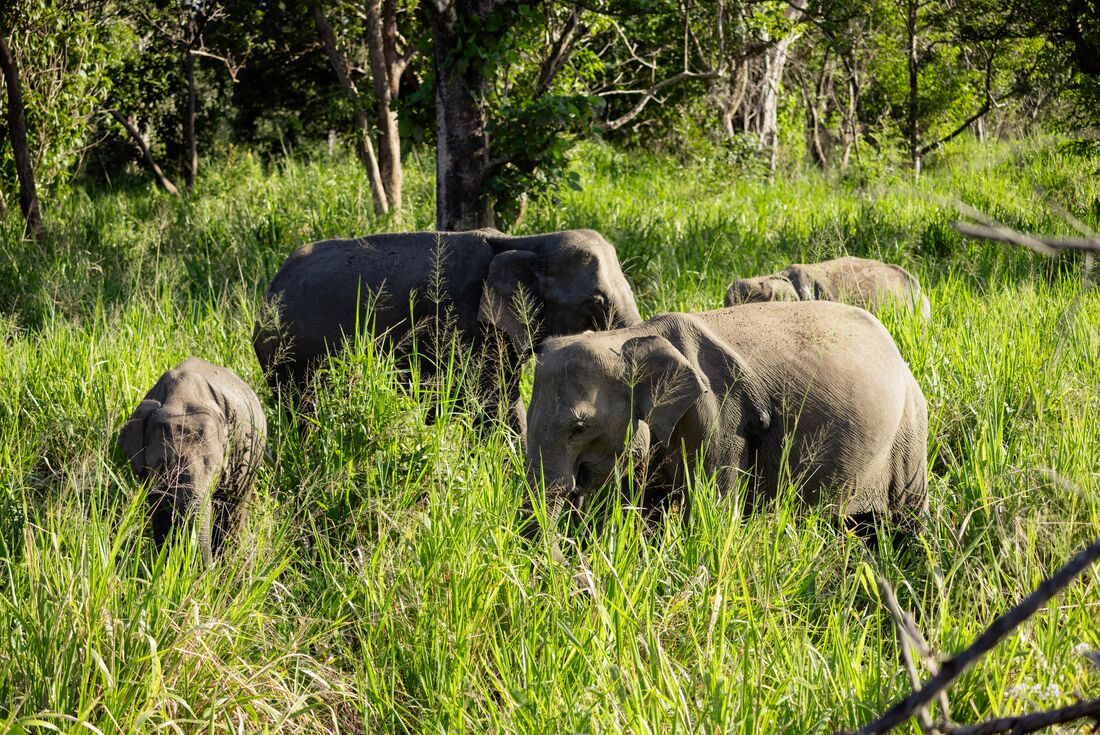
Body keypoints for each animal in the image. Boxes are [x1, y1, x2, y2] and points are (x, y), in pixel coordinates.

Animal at [118, 357, 267, 565]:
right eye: (162, 469)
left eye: (216, 471)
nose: (209, 566)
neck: (181, 397)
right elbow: (159, 512)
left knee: (234, 509)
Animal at [522, 301, 928, 540]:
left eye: (579, 428)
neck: (631, 337)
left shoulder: (721, 417)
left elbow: (710, 512)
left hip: (909, 432)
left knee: (906, 514)